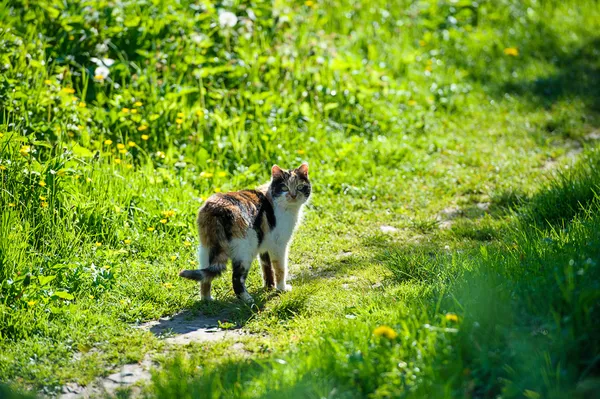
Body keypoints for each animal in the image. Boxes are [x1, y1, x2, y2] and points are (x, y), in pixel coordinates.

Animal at [178, 162, 312, 304]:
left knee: (205, 277)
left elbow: (266, 267)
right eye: (284, 187)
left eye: (299, 187)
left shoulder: (265, 245)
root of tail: (218, 208)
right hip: (245, 250)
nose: (293, 195)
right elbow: (280, 269)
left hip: (206, 249)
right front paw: (281, 288)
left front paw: (269, 287)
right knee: (236, 278)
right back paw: (248, 300)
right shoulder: (279, 245)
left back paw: (207, 300)